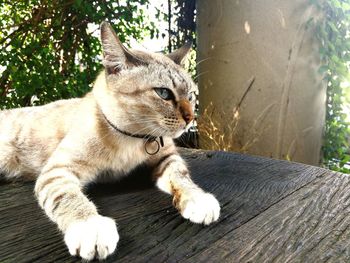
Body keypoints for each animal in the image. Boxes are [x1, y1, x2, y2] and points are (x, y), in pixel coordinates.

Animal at [0, 21, 220, 260]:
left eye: (191, 95)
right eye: (164, 93)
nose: (190, 119)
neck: (133, 139)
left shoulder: (167, 159)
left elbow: (182, 178)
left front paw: (199, 200)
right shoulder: (59, 170)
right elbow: (69, 198)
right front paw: (91, 228)